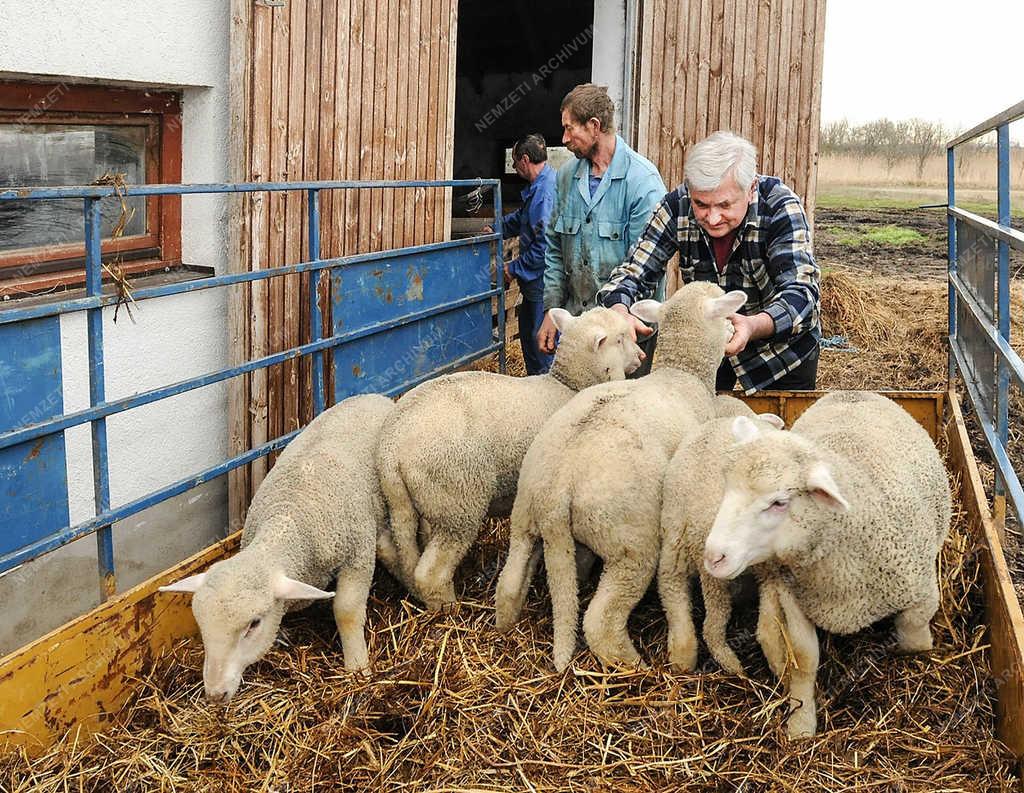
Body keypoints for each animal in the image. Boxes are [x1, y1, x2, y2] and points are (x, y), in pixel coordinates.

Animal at [159, 395, 399, 700]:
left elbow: (346, 610)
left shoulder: (358, 553)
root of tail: (372, 396)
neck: (289, 519)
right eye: (202, 625)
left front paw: (358, 669)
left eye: (254, 624)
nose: (215, 694)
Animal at [380, 307, 643, 610]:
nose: (641, 356)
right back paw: (449, 607)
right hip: (458, 502)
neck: (568, 385)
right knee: (431, 572)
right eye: (621, 339)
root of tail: (391, 448)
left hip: (411, 503)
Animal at [495, 282, 745, 672]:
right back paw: (632, 662)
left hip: (524, 519)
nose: (736, 332)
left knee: (508, 583)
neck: (682, 373)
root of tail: (556, 486)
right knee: (601, 620)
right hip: (628, 540)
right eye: (726, 315)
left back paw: (506, 621)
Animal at [655, 403, 782, 676]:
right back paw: (741, 666)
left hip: (673, 551)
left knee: (673, 597)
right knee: (718, 626)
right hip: (721, 570)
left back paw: (682, 657)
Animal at [704, 393, 950, 741]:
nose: (714, 556)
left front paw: (916, 650)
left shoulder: (920, 588)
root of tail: (853, 392)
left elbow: (913, 636)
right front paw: (801, 724)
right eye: (727, 486)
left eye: (779, 502)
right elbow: (803, 657)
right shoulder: (796, 599)